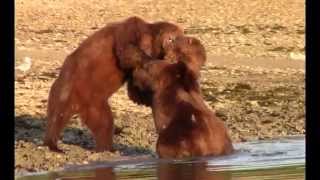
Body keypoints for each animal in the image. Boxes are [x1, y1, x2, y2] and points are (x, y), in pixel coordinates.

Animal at [42, 16, 184, 152]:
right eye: (172, 39)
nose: (174, 56)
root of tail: (78, 106)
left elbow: (135, 81)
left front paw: (143, 97)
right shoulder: (129, 32)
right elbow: (127, 52)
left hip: (94, 101)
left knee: (103, 122)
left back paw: (106, 148)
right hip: (69, 84)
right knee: (57, 115)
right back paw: (53, 145)